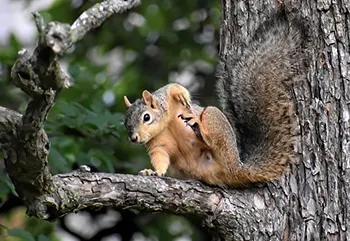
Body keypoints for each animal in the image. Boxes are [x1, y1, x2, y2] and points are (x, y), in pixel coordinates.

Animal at [123, 11, 308, 186]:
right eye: (125, 124)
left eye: (146, 117)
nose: (133, 138)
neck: (165, 124)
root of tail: (235, 168)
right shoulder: (157, 144)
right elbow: (160, 157)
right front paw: (152, 172)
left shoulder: (166, 97)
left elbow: (174, 87)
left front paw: (181, 95)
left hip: (214, 118)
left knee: (213, 141)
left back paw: (200, 129)